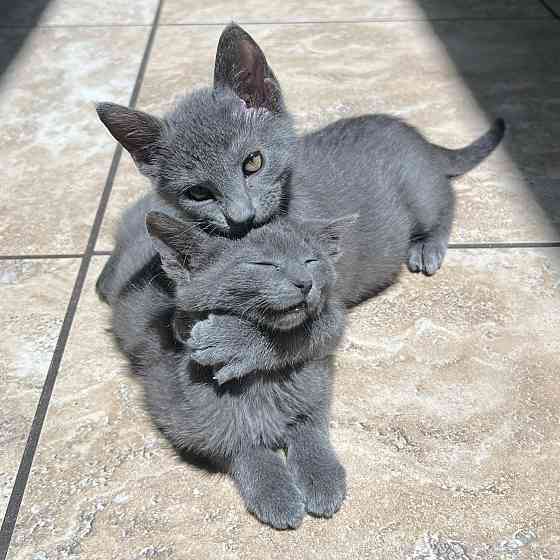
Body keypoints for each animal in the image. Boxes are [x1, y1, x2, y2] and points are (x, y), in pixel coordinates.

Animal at [95, 21, 504, 304]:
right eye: (198, 193)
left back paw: (427, 245)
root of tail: (416, 136)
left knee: (446, 200)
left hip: (419, 190)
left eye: (253, 162)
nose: (241, 218)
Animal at [111, 211, 352, 528]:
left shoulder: (316, 381)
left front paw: (321, 475)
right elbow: (240, 445)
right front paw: (275, 491)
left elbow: (310, 427)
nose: (305, 283)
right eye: (264, 264)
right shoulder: (187, 419)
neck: (264, 382)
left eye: (311, 260)